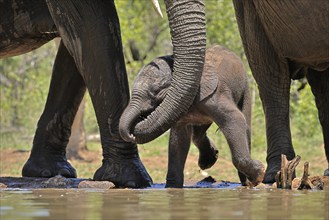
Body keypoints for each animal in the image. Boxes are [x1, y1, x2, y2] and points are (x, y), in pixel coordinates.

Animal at [119, 44, 262, 187]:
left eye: (156, 92)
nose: (131, 134)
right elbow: (179, 138)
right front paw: (172, 188)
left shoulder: (212, 96)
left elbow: (234, 119)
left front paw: (259, 172)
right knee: (198, 133)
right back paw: (208, 161)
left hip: (244, 88)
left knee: (245, 124)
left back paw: (247, 182)